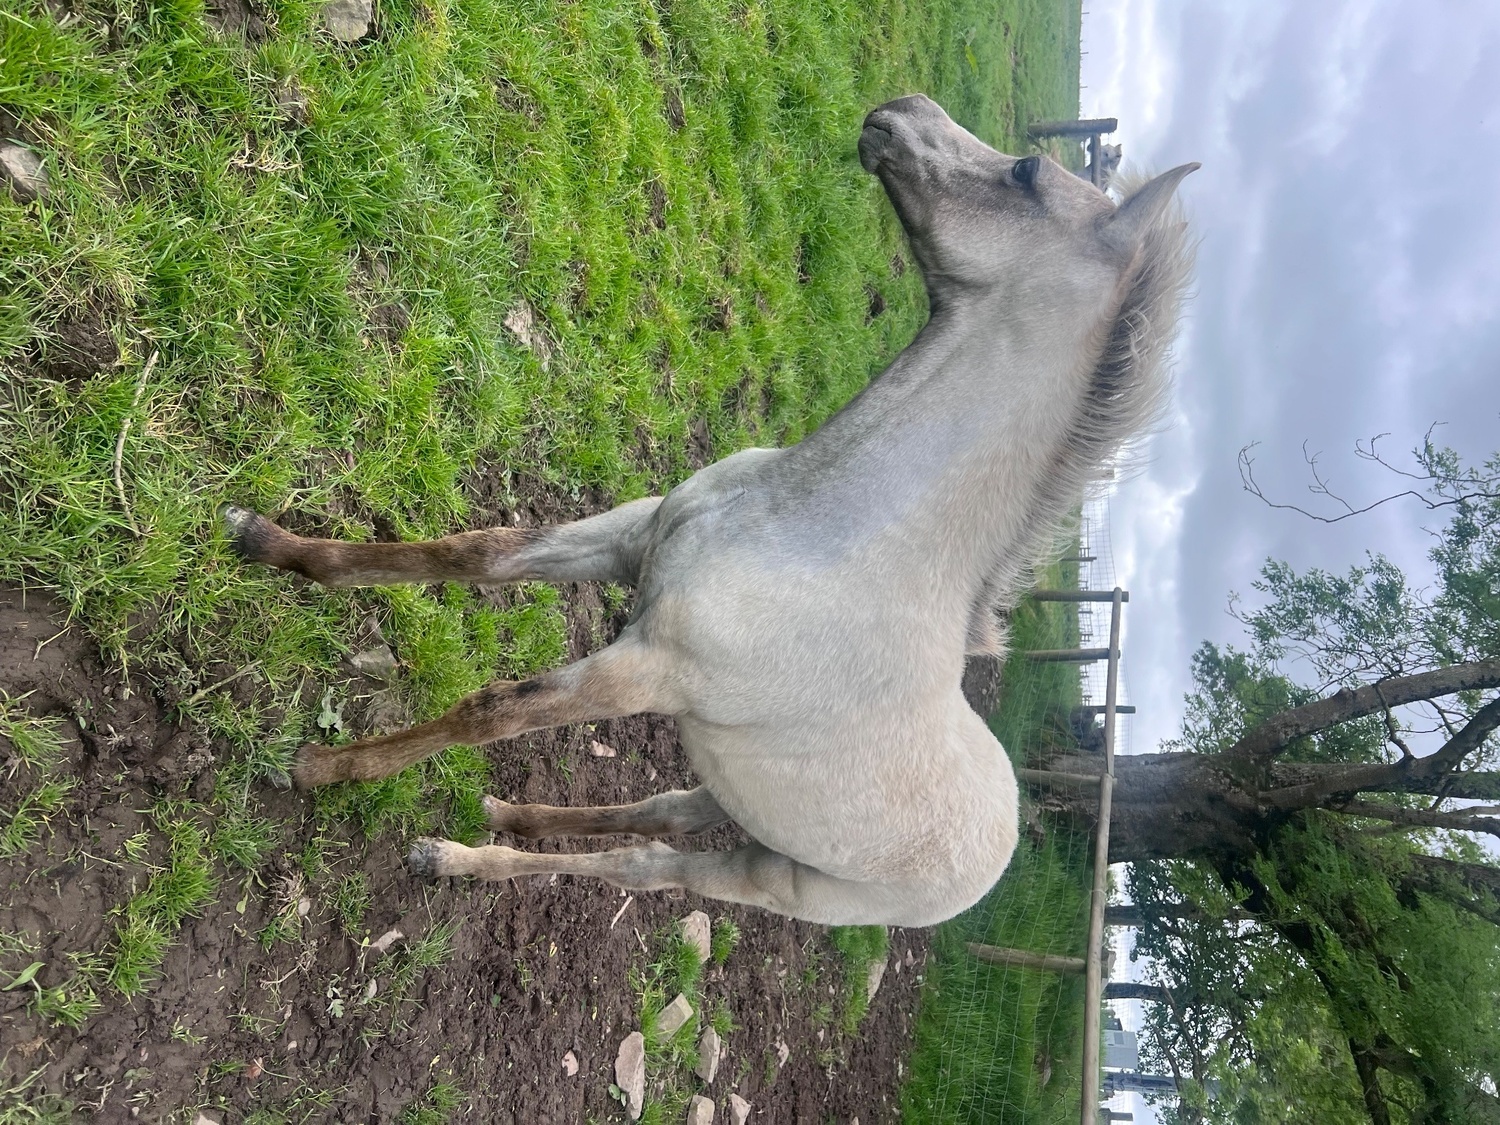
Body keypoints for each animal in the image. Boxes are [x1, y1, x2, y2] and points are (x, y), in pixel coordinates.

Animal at [222, 94, 1196, 927]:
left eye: (1027, 171)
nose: (900, 110)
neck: (814, 529)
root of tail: (1000, 844)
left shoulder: (646, 668)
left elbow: (492, 707)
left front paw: (324, 768)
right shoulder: (631, 536)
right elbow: (477, 552)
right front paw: (264, 541)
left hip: (774, 875)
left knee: (647, 867)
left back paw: (453, 857)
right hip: (731, 796)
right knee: (657, 813)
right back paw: (505, 814)